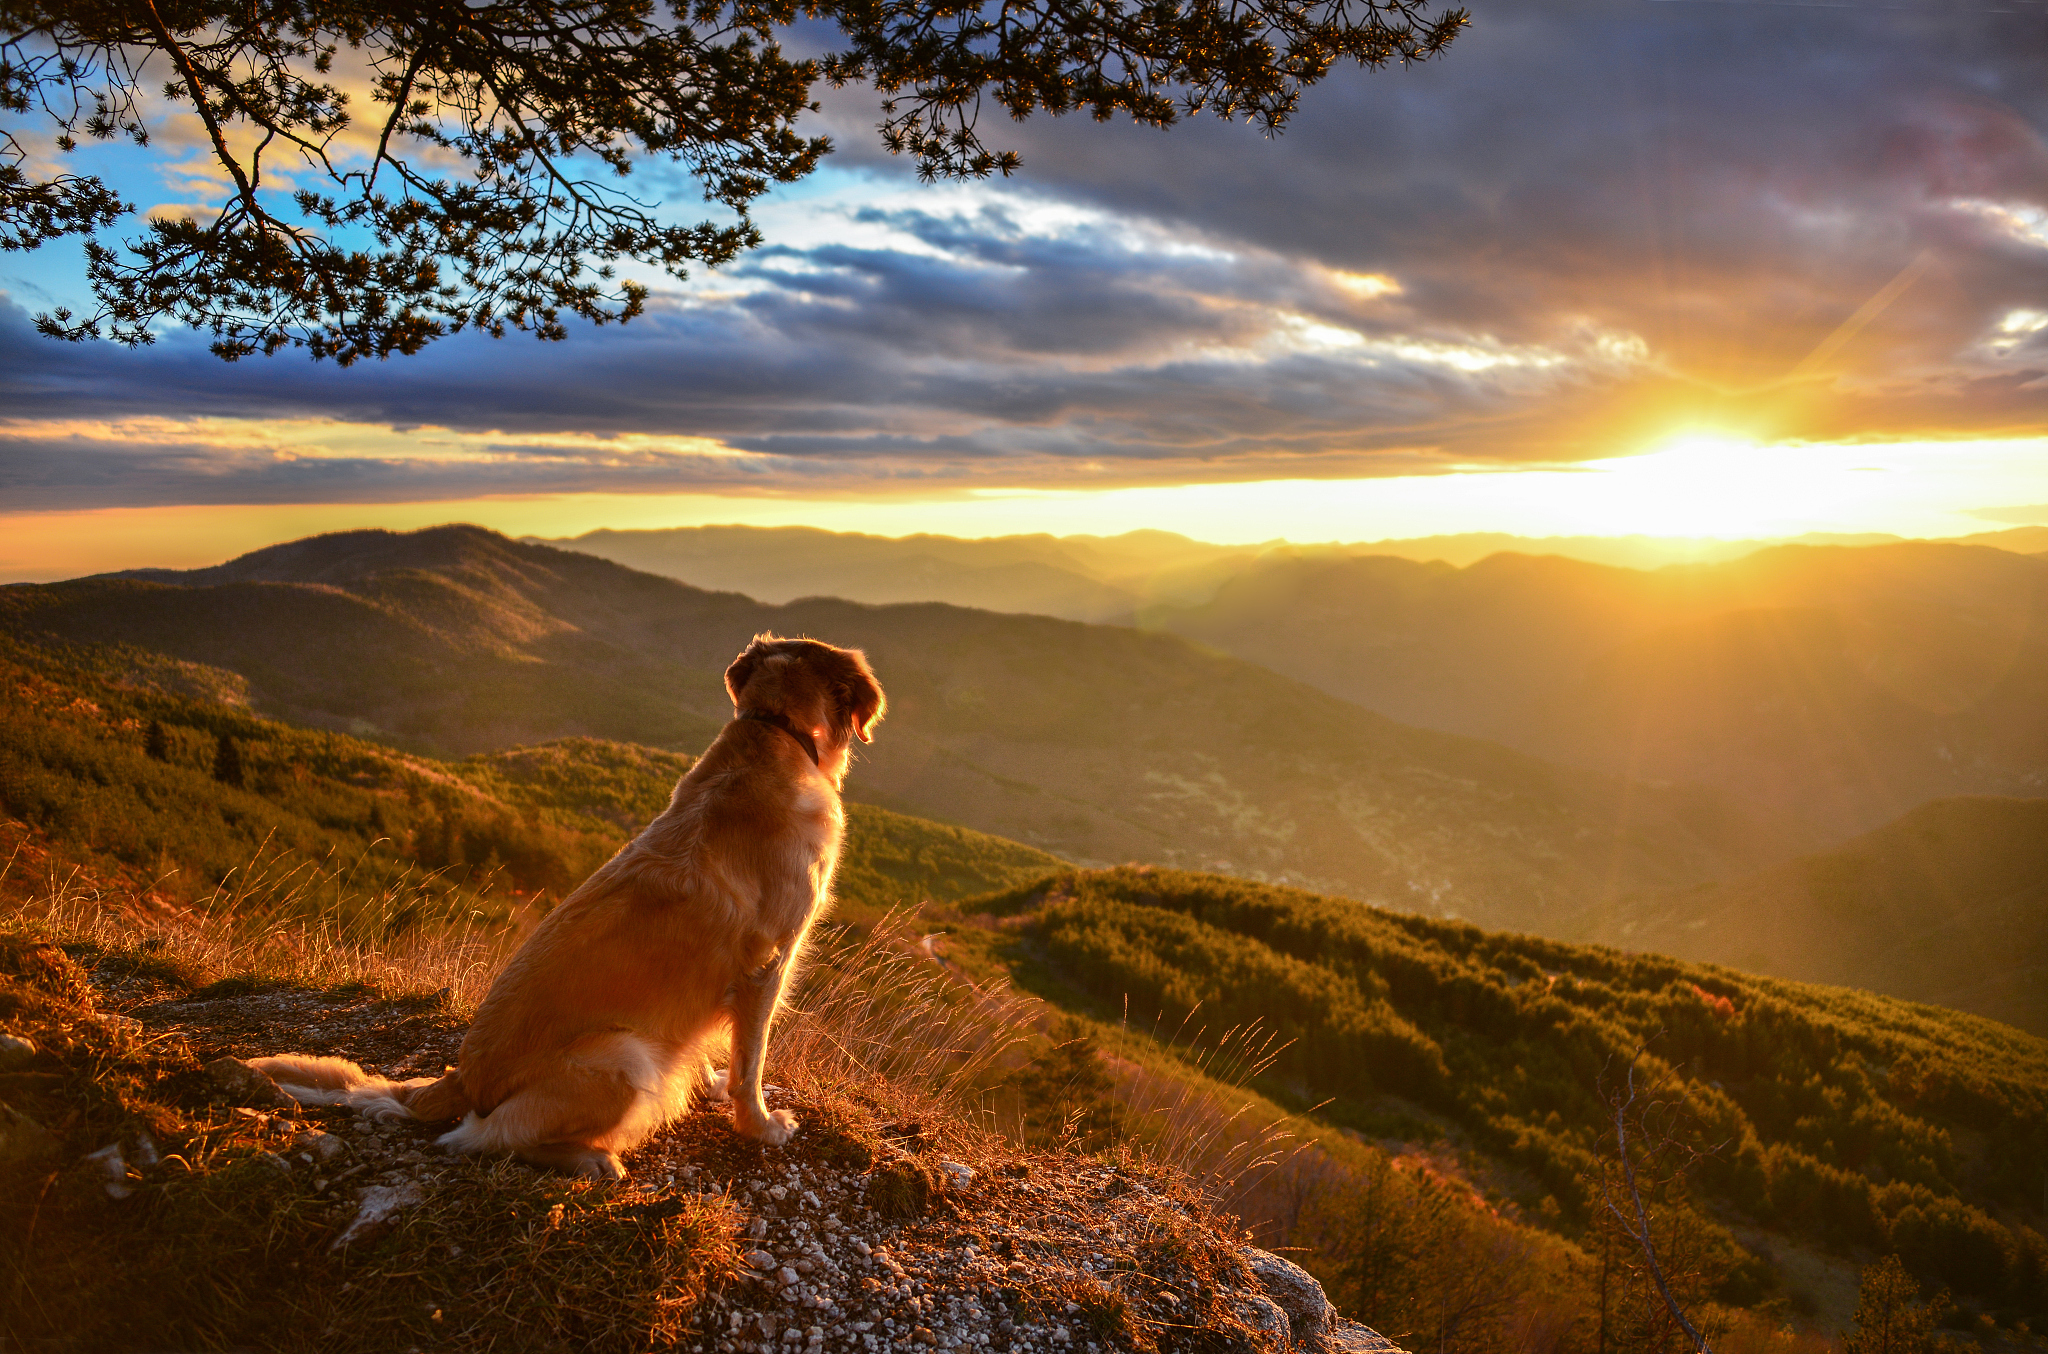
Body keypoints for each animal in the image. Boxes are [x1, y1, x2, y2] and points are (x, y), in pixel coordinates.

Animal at [245, 635, 880, 1171]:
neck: (774, 730)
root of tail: (458, 1078)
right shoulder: (765, 967)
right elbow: (752, 1063)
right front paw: (761, 1126)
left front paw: (716, 1085)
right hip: (624, 1057)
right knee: (480, 1137)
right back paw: (590, 1159)